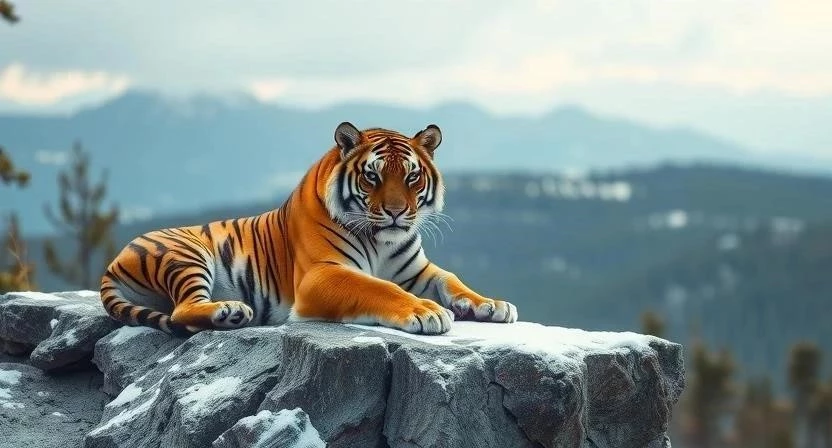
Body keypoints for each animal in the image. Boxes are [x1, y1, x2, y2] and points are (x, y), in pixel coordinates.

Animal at [100, 122, 518, 336]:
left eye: (412, 176)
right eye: (372, 176)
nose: (397, 212)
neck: (383, 241)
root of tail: (112, 263)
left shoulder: (417, 270)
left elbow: (452, 280)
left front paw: (491, 304)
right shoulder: (321, 274)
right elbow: (377, 287)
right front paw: (425, 310)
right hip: (187, 253)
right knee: (180, 311)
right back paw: (230, 312)